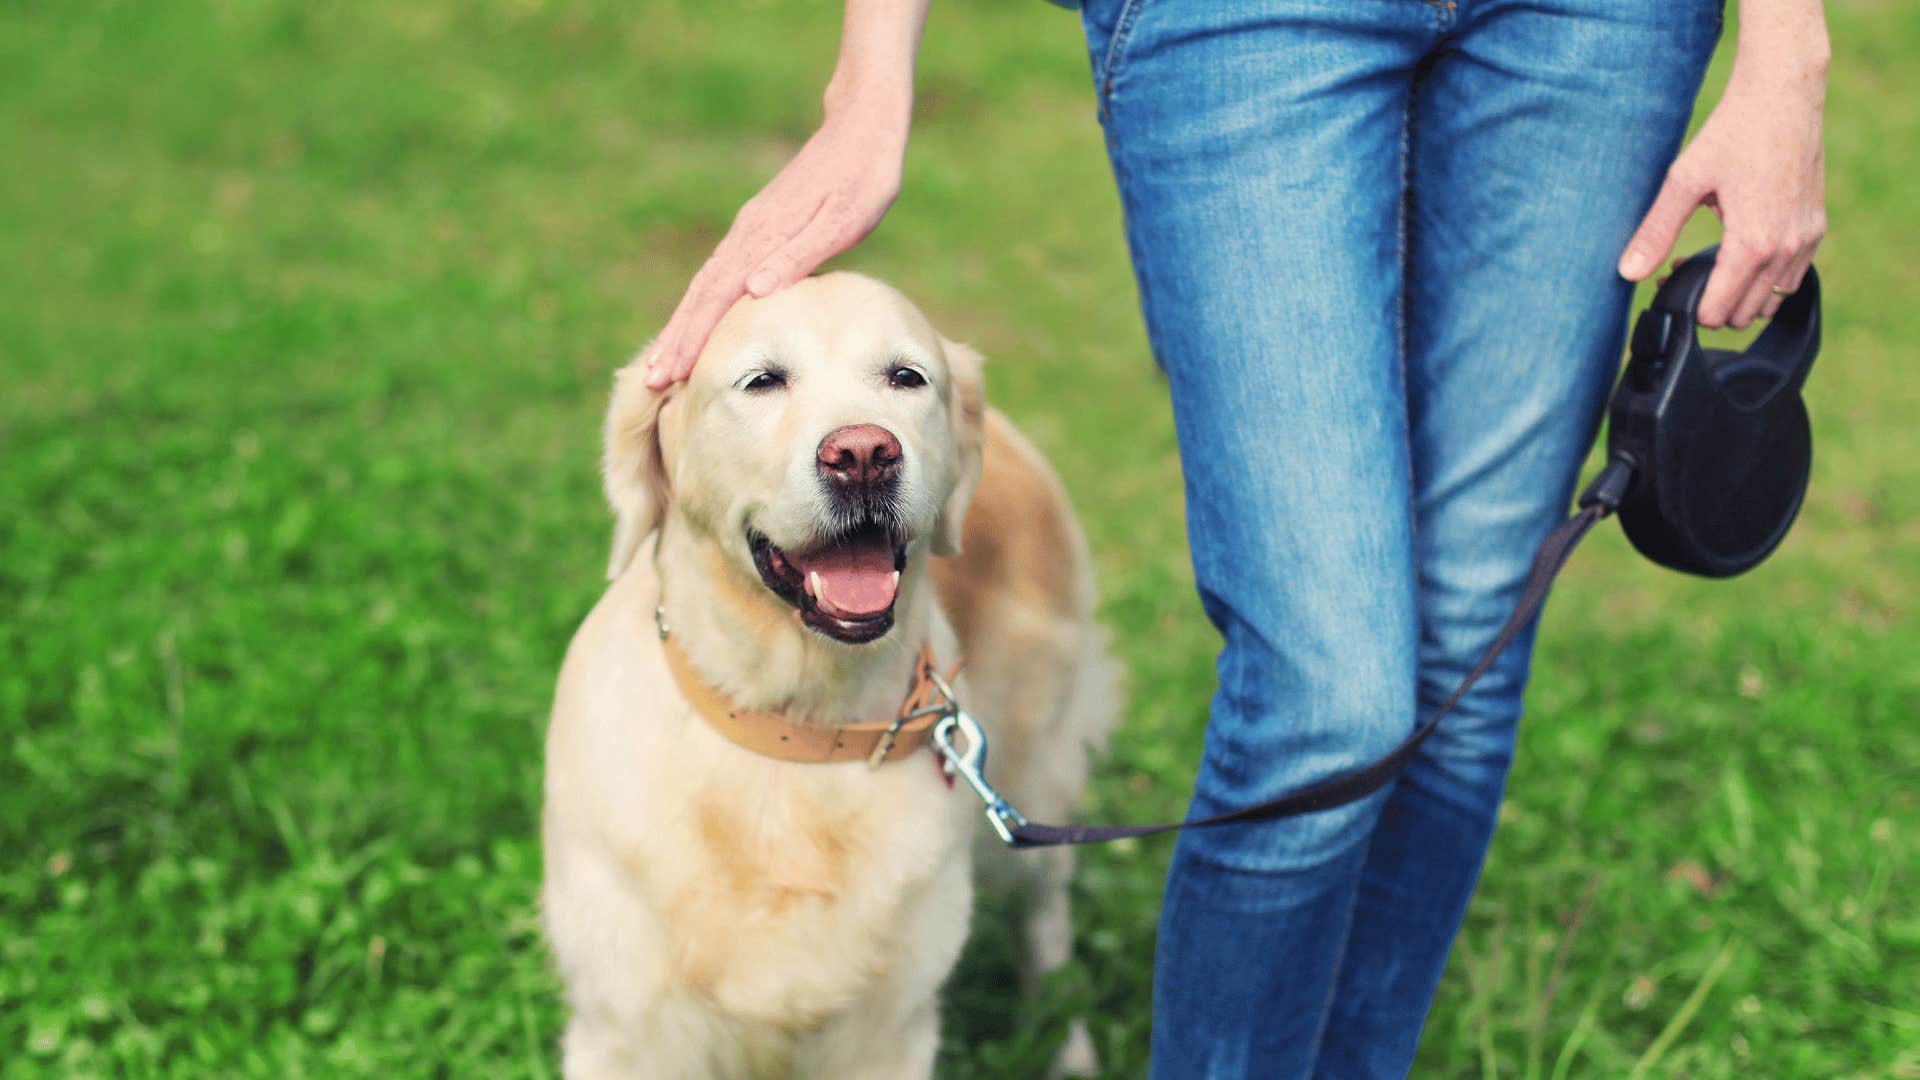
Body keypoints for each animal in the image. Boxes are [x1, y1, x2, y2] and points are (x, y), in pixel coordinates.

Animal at [537, 272, 1113, 1068]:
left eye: (906, 377)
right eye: (761, 381)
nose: (865, 453)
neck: (794, 730)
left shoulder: (889, 1035)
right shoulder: (625, 1029)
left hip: (1034, 776)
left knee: (1047, 922)